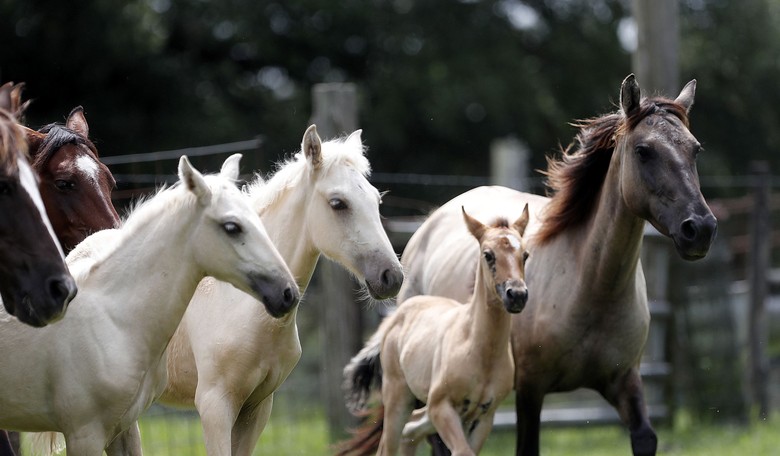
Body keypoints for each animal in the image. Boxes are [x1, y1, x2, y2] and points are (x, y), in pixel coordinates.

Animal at [156, 125, 404, 455]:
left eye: (377, 201)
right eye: (338, 203)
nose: (391, 277)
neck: (241, 305)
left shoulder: (257, 406)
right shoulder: (214, 406)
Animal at [341, 205, 530, 456]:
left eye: (525, 255)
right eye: (488, 255)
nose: (516, 295)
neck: (477, 349)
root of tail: (397, 314)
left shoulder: (484, 417)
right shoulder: (441, 406)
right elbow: (462, 452)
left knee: (410, 430)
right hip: (398, 397)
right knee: (390, 444)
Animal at [396, 75, 717, 456]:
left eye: (696, 150)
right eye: (644, 151)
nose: (700, 229)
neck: (591, 288)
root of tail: (430, 223)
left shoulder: (625, 380)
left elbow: (645, 437)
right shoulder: (531, 388)